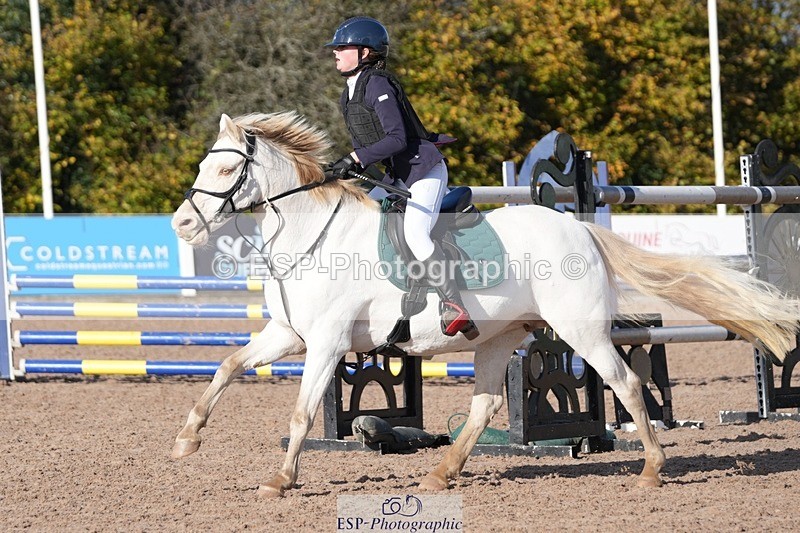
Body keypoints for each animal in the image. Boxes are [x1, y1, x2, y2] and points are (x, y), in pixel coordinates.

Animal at [170, 111, 800, 497]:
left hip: (580, 331)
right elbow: (226, 366)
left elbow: (301, 413)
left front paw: (281, 480)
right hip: (499, 337)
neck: (313, 234)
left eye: (226, 168)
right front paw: (187, 438)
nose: (182, 225)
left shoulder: (325, 344)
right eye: (203, 164)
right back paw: (440, 473)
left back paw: (651, 470)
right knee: (485, 405)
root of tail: (578, 229)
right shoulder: (288, 335)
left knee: (623, 382)